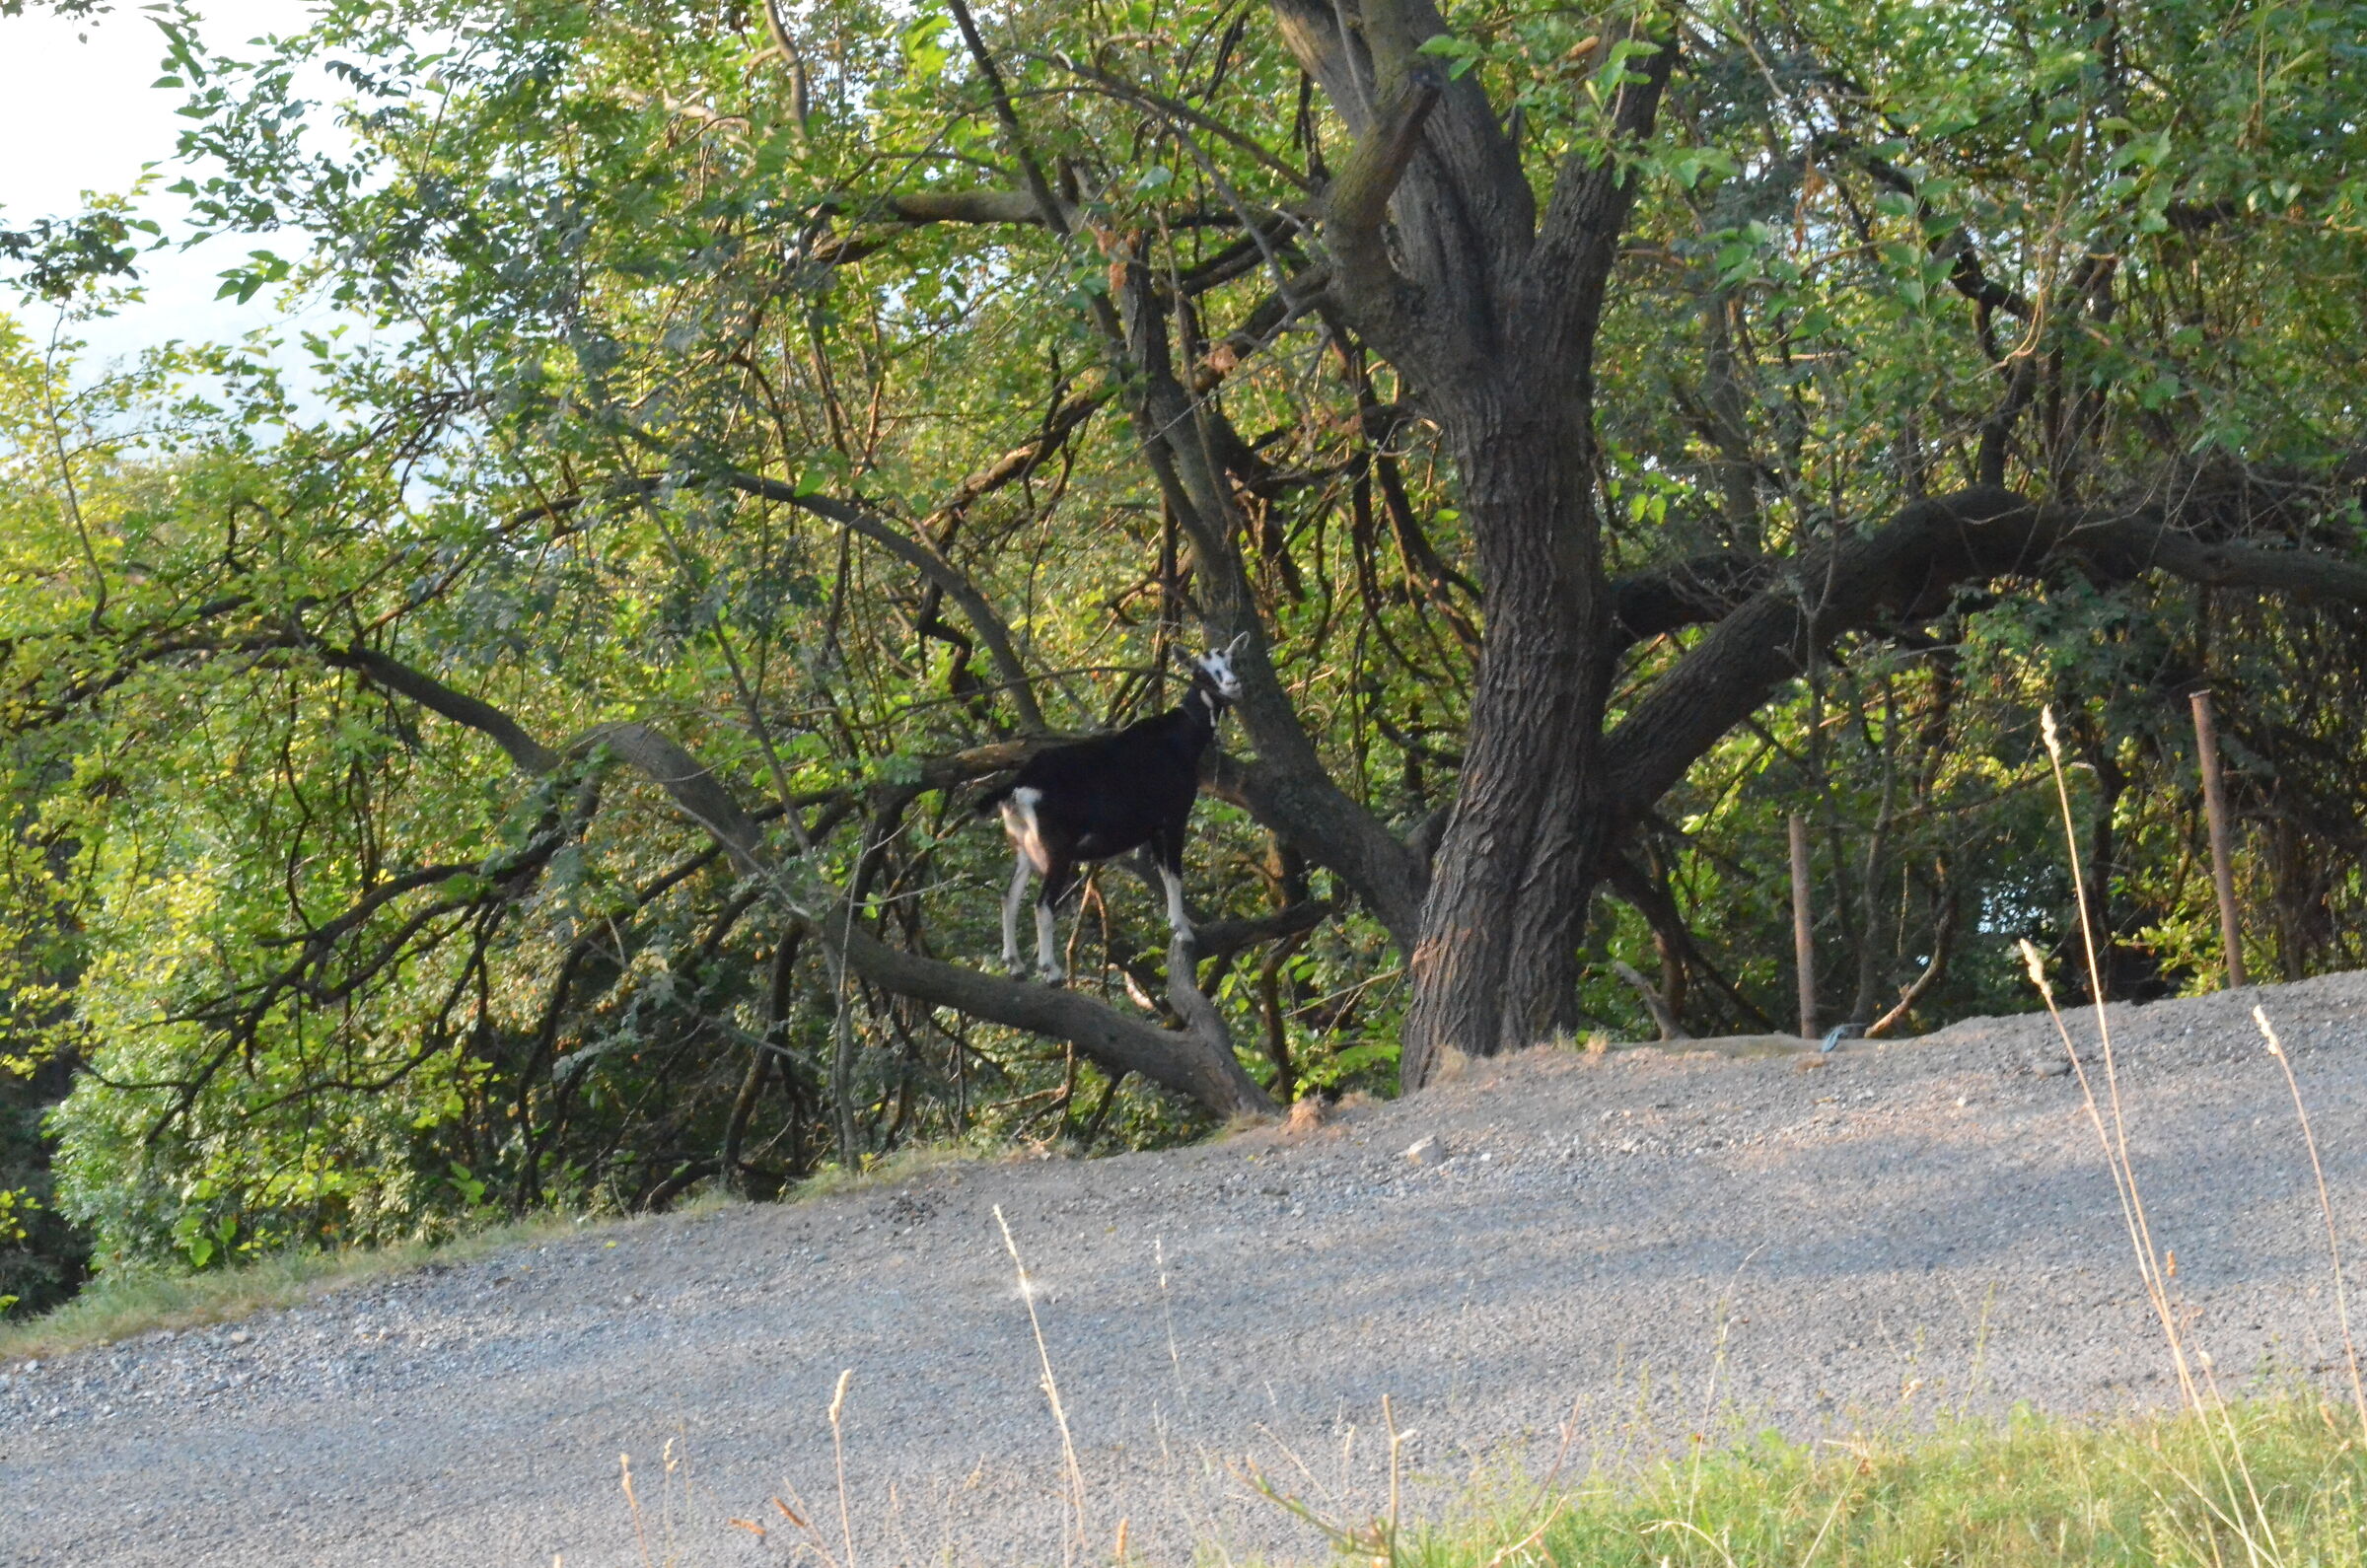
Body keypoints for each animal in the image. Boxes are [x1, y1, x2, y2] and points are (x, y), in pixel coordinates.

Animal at [977, 638, 1245, 981]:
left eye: (1231, 662)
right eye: (1201, 671)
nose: (1233, 685)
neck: (1178, 739)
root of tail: (1019, 785)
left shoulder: (1153, 827)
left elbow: (1164, 872)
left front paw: (1176, 924)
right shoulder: (1174, 816)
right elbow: (1174, 873)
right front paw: (1183, 931)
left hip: (1022, 843)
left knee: (1008, 896)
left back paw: (1015, 965)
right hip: (1057, 848)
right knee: (1042, 903)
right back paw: (1051, 971)